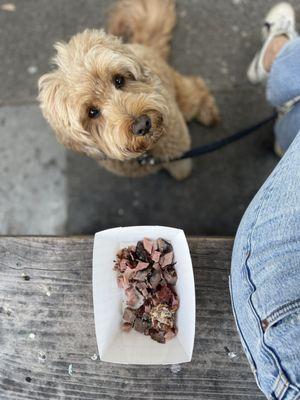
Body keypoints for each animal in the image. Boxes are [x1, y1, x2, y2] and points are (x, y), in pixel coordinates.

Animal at [38, 0, 219, 180]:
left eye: (119, 80)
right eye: (92, 112)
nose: (143, 124)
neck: (148, 153)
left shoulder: (177, 149)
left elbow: (180, 169)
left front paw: (183, 173)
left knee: (196, 88)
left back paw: (207, 112)